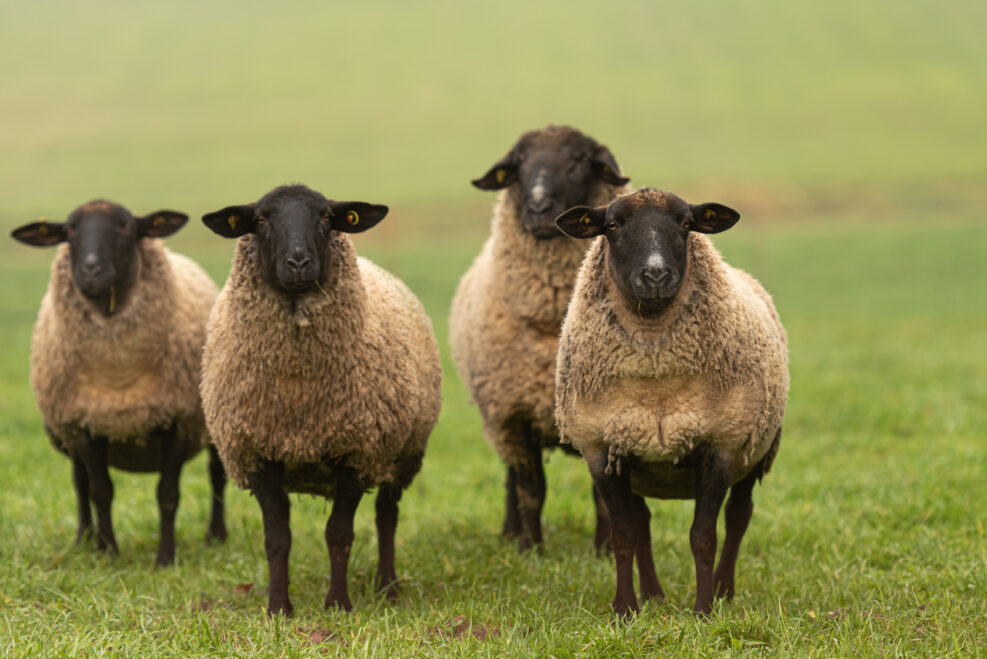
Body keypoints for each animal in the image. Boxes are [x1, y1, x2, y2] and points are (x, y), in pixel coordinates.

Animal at [11, 201, 228, 568]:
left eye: (126, 228)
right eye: (69, 231)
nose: (91, 270)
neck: (118, 377)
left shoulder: (179, 421)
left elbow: (168, 493)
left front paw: (165, 559)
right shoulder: (83, 424)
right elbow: (100, 491)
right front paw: (106, 552)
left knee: (217, 474)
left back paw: (216, 536)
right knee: (79, 481)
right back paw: (83, 539)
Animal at [201, 183, 440, 616]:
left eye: (327, 218)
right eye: (260, 219)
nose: (299, 262)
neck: (300, 392)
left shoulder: (357, 451)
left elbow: (339, 534)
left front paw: (338, 604)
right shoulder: (257, 452)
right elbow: (277, 539)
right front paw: (278, 608)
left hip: (401, 452)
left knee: (386, 516)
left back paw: (388, 586)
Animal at [450, 124, 628, 552]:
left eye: (580, 160)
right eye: (519, 164)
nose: (538, 206)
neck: (553, 330)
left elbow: (604, 496)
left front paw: (605, 550)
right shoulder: (512, 417)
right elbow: (531, 489)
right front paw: (530, 549)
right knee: (513, 481)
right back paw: (510, 534)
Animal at [556, 188, 788, 616]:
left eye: (685, 223)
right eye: (612, 225)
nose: (656, 276)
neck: (656, 381)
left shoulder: (721, 446)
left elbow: (704, 537)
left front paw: (703, 611)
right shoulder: (603, 450)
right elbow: (624, 535)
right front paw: (625, 610)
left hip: (757, 450)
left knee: (739, 517)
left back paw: (723, 590)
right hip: (637, 459)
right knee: (642, 521)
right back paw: (653, 595)